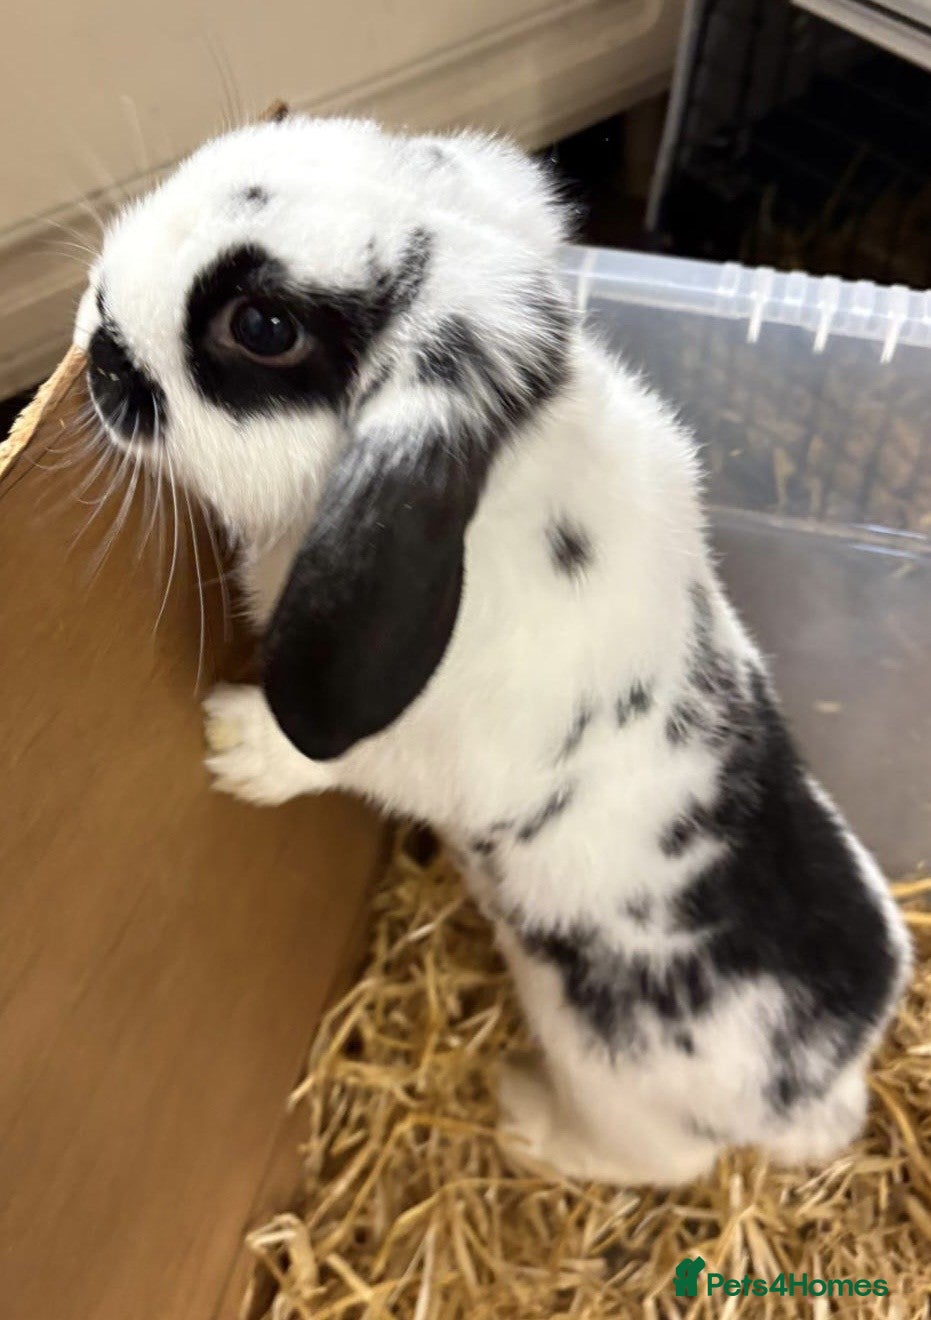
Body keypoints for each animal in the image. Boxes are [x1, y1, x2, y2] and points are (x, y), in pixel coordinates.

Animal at [75, 113, 911, 1186]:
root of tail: (820, 1084)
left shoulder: (440, 750)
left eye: (262, 327)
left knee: (652, 1165)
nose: (95, 331)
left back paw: (523, 1117)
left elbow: (331, 750)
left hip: (615, 1087)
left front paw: (235, 741)